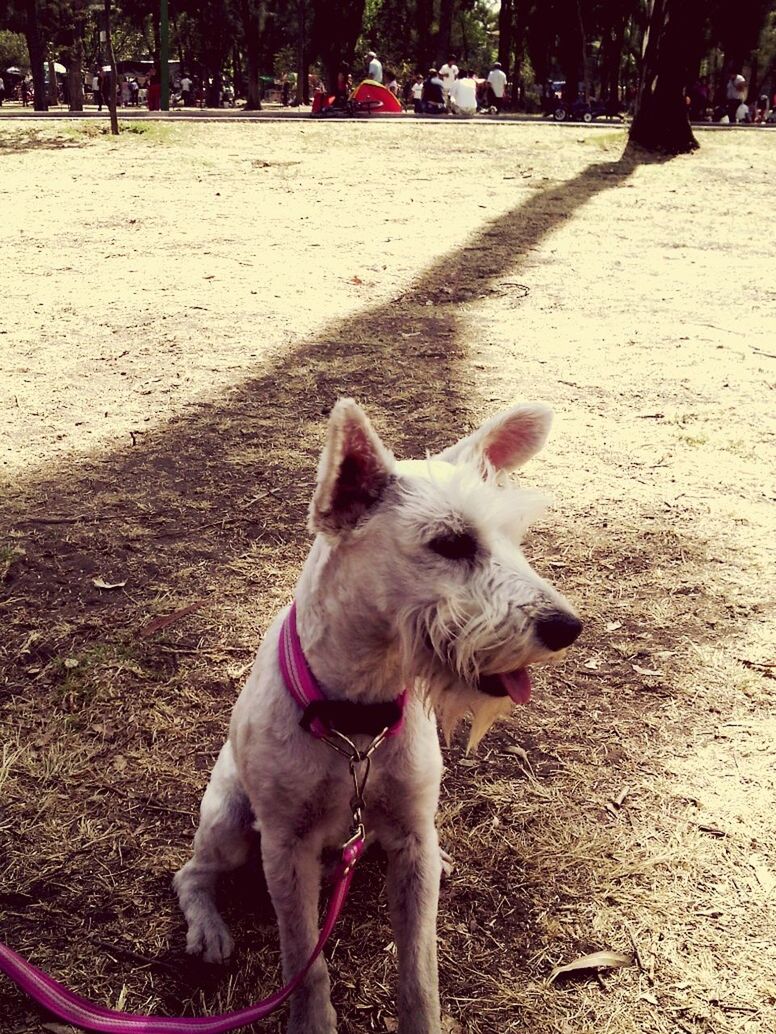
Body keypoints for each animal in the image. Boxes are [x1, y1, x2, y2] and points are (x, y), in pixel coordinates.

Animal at [171, 399, 583, 1029]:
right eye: (451, 543)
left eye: (514, 537)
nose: (567, 627)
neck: (356, 718)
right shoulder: (286, 850)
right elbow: (304, 960)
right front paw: (312, 1023)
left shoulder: (411, 838)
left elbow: (419, 972)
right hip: (230, 824)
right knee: (190, 874)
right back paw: (209, 930)